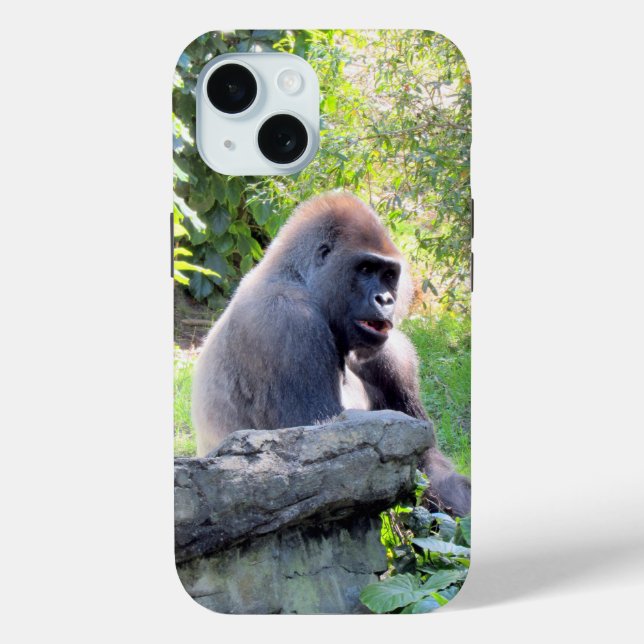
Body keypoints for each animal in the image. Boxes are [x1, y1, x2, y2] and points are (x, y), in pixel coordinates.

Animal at [192, 192, 470, 517]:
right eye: (365, 269)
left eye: (389, 275)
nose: (385, 299)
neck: (298, 278)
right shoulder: (289, 321)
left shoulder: (394, 353)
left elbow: (428, 462)